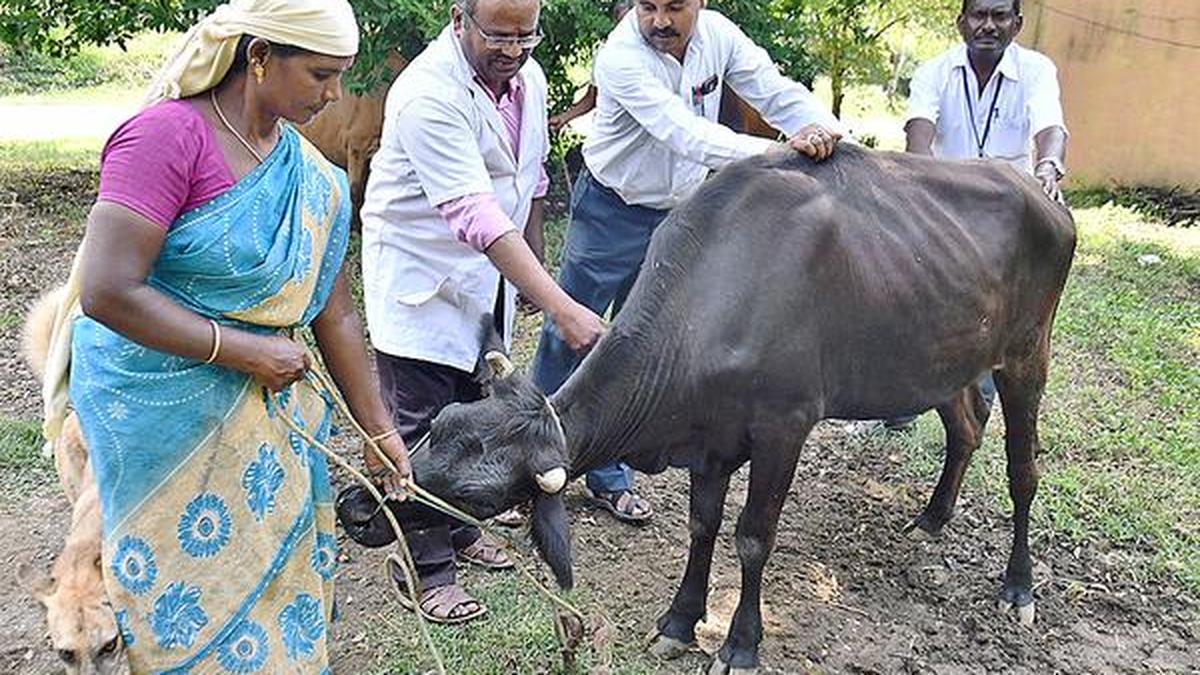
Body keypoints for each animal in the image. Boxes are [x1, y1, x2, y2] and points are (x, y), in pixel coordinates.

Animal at [407, 143, 1076, 674]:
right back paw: (933, 518)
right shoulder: (712, 439)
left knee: (1024, 470)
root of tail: (1040, 192)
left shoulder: (784, 427)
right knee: (966, 426)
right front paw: (679, 622)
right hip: (943, 358)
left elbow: (753, 537)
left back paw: (1018, 586)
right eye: (438, 427)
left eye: (475, 498)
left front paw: (740, 645)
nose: (380, 498)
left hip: (1027, 353)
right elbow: (702, 525)